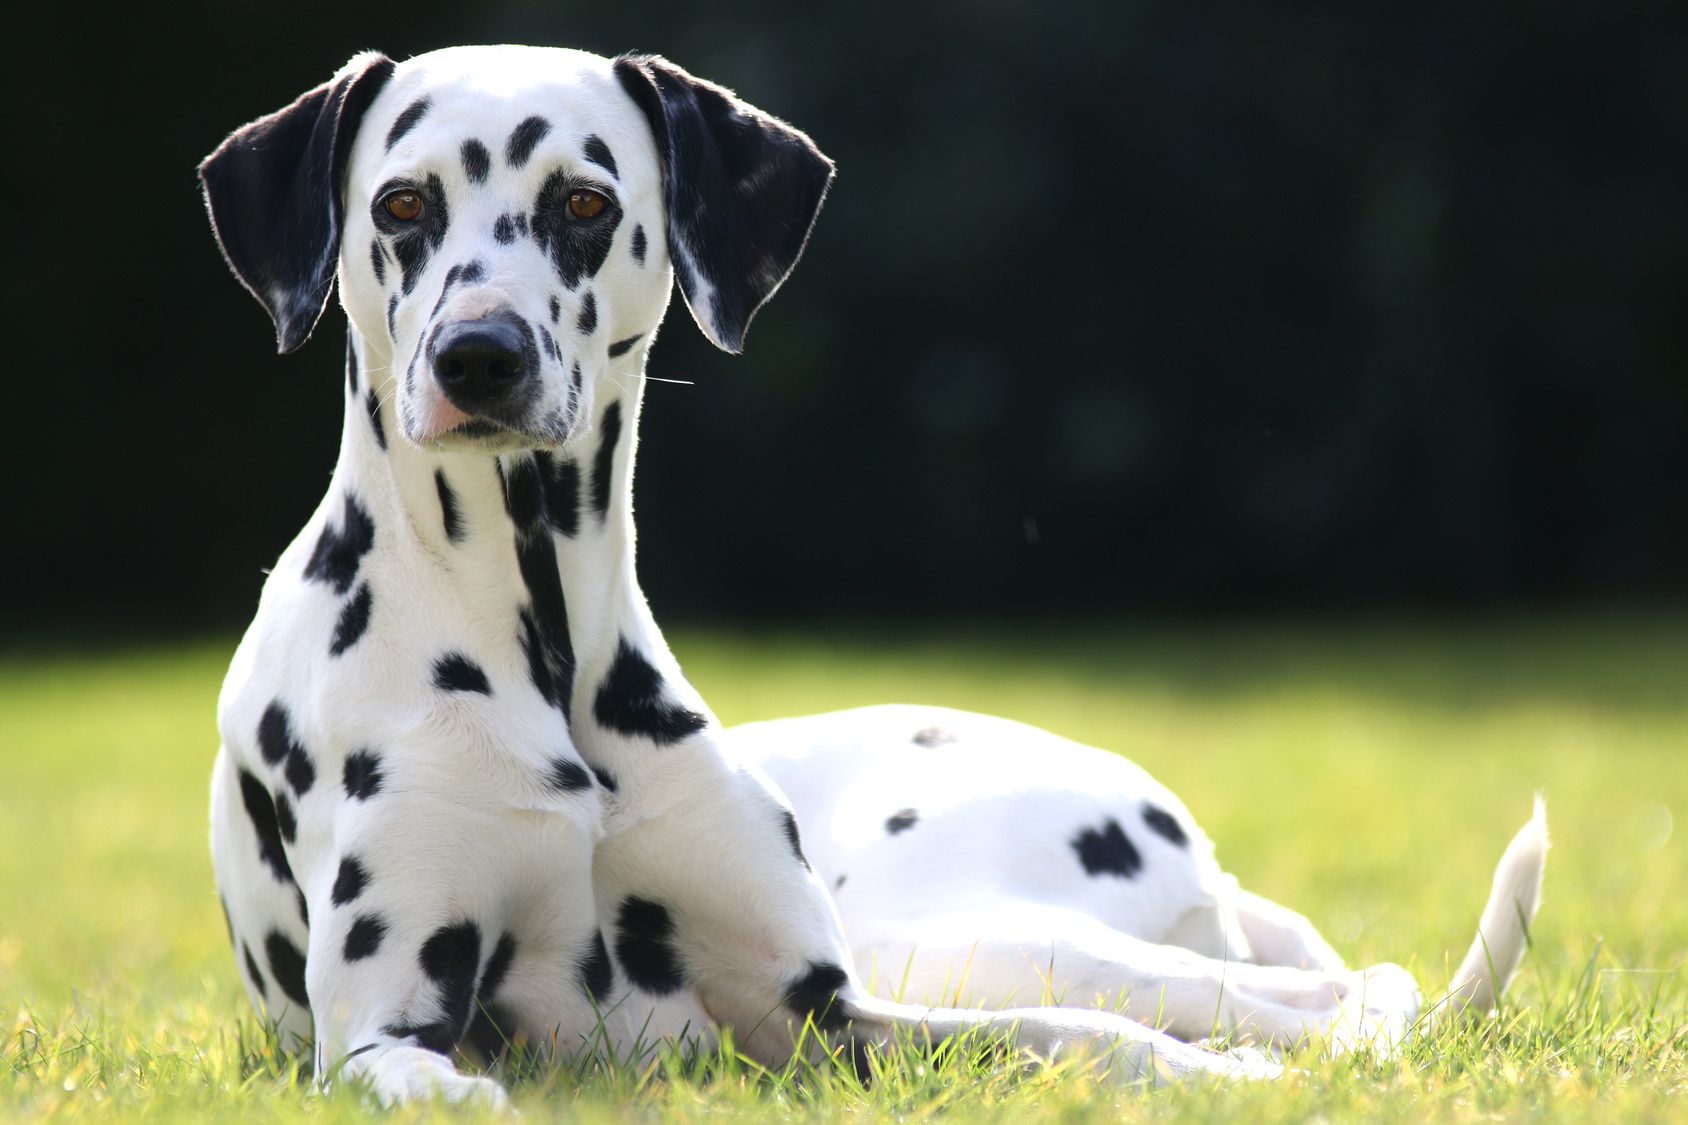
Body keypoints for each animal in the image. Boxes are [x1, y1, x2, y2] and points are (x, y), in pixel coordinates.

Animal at [197, 46, 1546, 1101]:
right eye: (400, 204)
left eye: (581, 203)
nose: (479, 357)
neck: (540, 645)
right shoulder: (378, 1035)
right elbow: (437, 1080)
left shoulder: (830, 1013)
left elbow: (1081, 1038)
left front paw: (1218, 1084)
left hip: (969, 939)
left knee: (1341, 991)